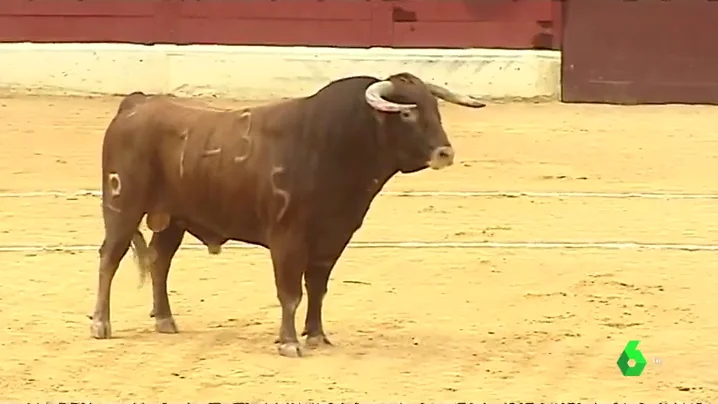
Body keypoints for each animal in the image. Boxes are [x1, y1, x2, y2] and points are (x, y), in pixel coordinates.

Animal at [88, 72, 484, 356]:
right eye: (406, 112)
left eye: (435, 109)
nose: (445, 153)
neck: (336, 143)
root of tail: (136, 104)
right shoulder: (287, 237)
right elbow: (290, 291)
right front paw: (289, 342)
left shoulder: (333, 237)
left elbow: (318, 287)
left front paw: (317, 335)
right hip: (122, 206)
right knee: (110, 257)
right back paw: (100, 325)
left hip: (174, 218)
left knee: (160, 260)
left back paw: (166, 320)